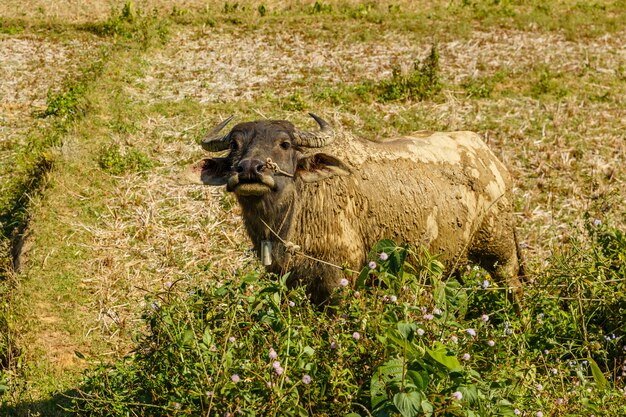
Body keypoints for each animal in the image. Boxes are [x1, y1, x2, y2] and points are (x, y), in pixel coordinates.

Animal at [190, 113, 520, 302]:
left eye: (284, 144)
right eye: (235, 145)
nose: (250, 169)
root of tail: (490, 156)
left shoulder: (339, 282)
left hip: (501, 250)